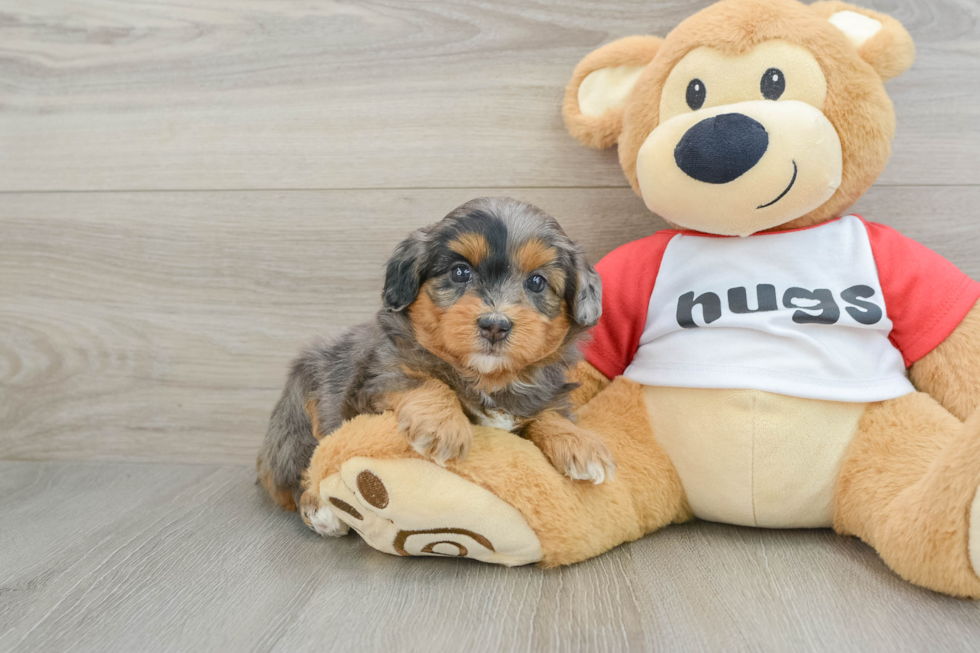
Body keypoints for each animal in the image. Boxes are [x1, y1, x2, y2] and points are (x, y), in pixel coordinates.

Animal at [256, 197, 616, 536]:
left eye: (537, 282)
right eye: (460, 272)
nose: (495, 325)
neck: (485, 377)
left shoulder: (541, 392)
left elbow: (548, 412)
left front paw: (580, 443)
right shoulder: (376, 380)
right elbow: (425, 381)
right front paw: (442, 426)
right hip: (302, 413)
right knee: (303, 465)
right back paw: (319, 508)